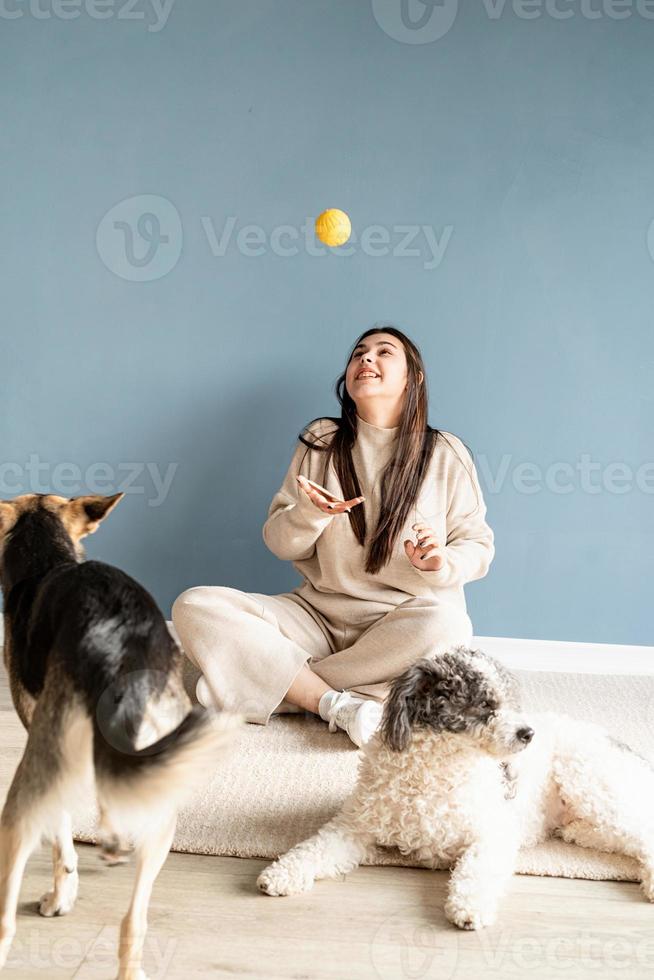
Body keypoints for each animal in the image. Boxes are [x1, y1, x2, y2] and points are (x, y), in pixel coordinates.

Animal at [0, 494, 238, 980]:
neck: (47, 558)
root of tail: (121, 647)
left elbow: (63, 843)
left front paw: (60, 896)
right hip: (165, 801)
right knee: (134, 921)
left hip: (26, 793)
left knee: (5, 922)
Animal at [258, 648, 654, 932]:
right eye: (486, 704)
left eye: (510, 701)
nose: (528, 733)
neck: (434, 767)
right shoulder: (354, 827)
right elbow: (313, 848)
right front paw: (279, 875)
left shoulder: (492, 835)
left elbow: (475, 871)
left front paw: (469, 908)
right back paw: (576, 833)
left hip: (590, 783)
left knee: (642, 833)